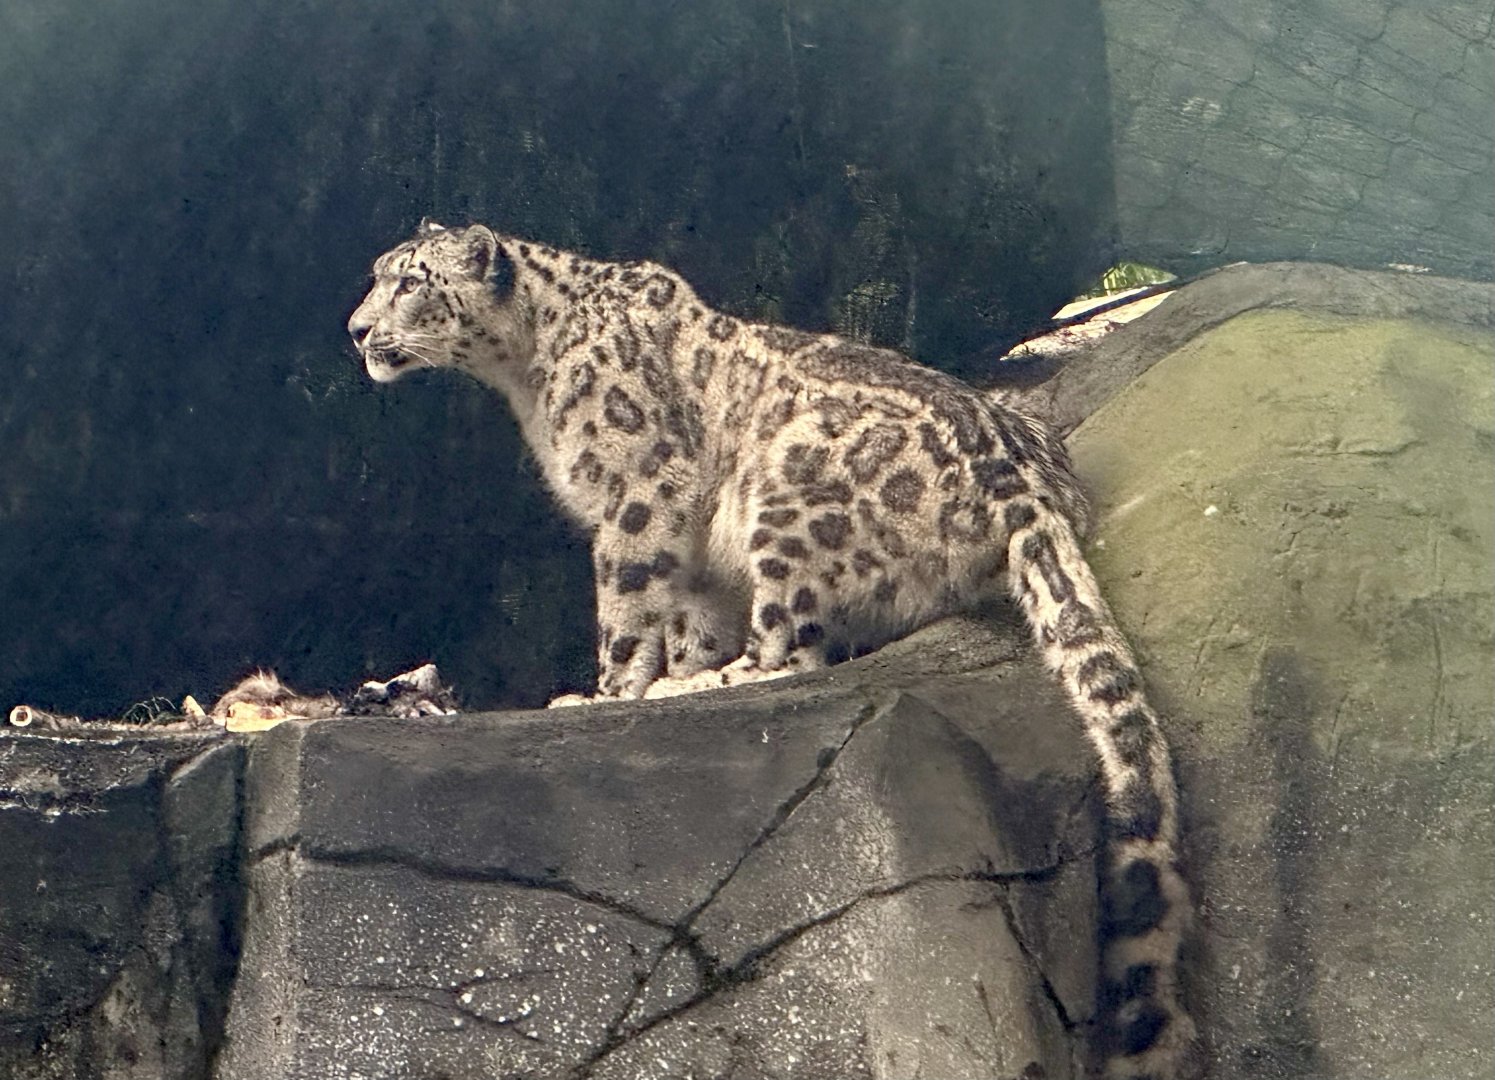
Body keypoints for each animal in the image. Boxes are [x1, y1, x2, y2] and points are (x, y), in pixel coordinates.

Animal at [348, 219, 1198, 1079]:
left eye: (410, 282)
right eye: (380, 273)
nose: (355, 329)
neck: (525, 369)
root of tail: (1029, 486)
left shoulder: (637, 492)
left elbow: (626, 603)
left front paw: (608, 690)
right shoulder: (693, 559)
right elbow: (690, 617)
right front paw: (675, 664)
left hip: (787, 503)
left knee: (790, 649)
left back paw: (700, 687)